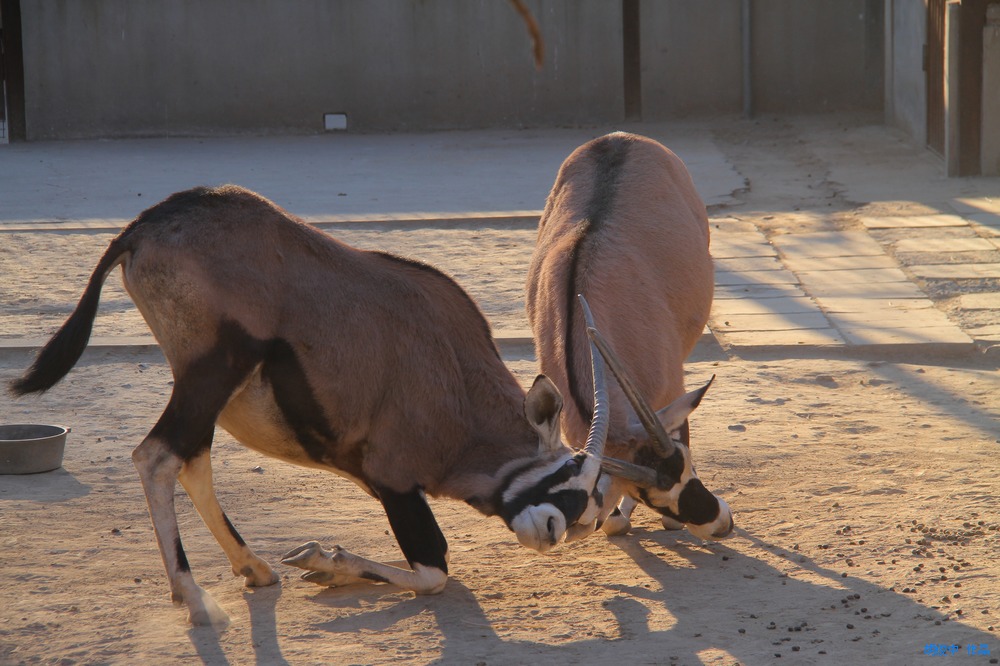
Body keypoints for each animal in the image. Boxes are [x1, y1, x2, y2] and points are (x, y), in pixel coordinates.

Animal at [7, 184, 620, 624]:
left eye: (585, 503)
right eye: (561, 478)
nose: (550, 531)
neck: (458, 390)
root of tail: (144, 226)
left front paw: (323, 568)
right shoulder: (395, 478)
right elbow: (434, 571)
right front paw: (326, 562)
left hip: (204, 388)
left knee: (191, 460)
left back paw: (252, 567)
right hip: (212, 372)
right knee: (157, 457)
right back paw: (196, 598)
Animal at [524, 130, 736, 540]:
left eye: (686, 461)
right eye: (647, 494)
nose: (722, 523)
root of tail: (618, 138)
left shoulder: (670, 393)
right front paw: (620, 518)